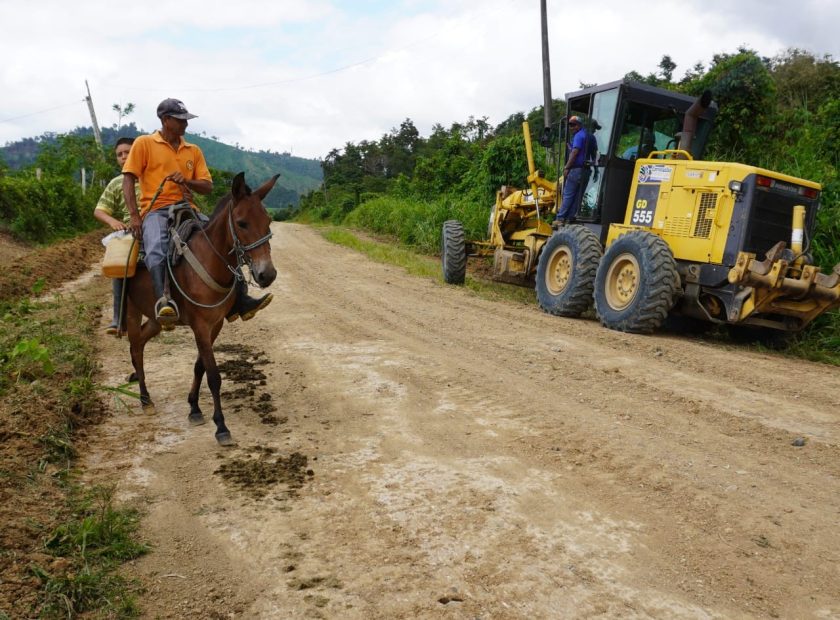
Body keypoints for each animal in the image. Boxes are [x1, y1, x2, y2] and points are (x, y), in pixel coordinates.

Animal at [128, 172, 278, 448]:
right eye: (241, 223)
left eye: (268, 221)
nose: (267, 274)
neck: (210, 261)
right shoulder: (200, 325)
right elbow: (214, 375)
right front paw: (221, 426)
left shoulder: (215, 324)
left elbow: (200, 366)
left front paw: (194, 408)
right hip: (131, 311)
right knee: (135, 349)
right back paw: (145, 399)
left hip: (155, 319)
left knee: (141, 343)